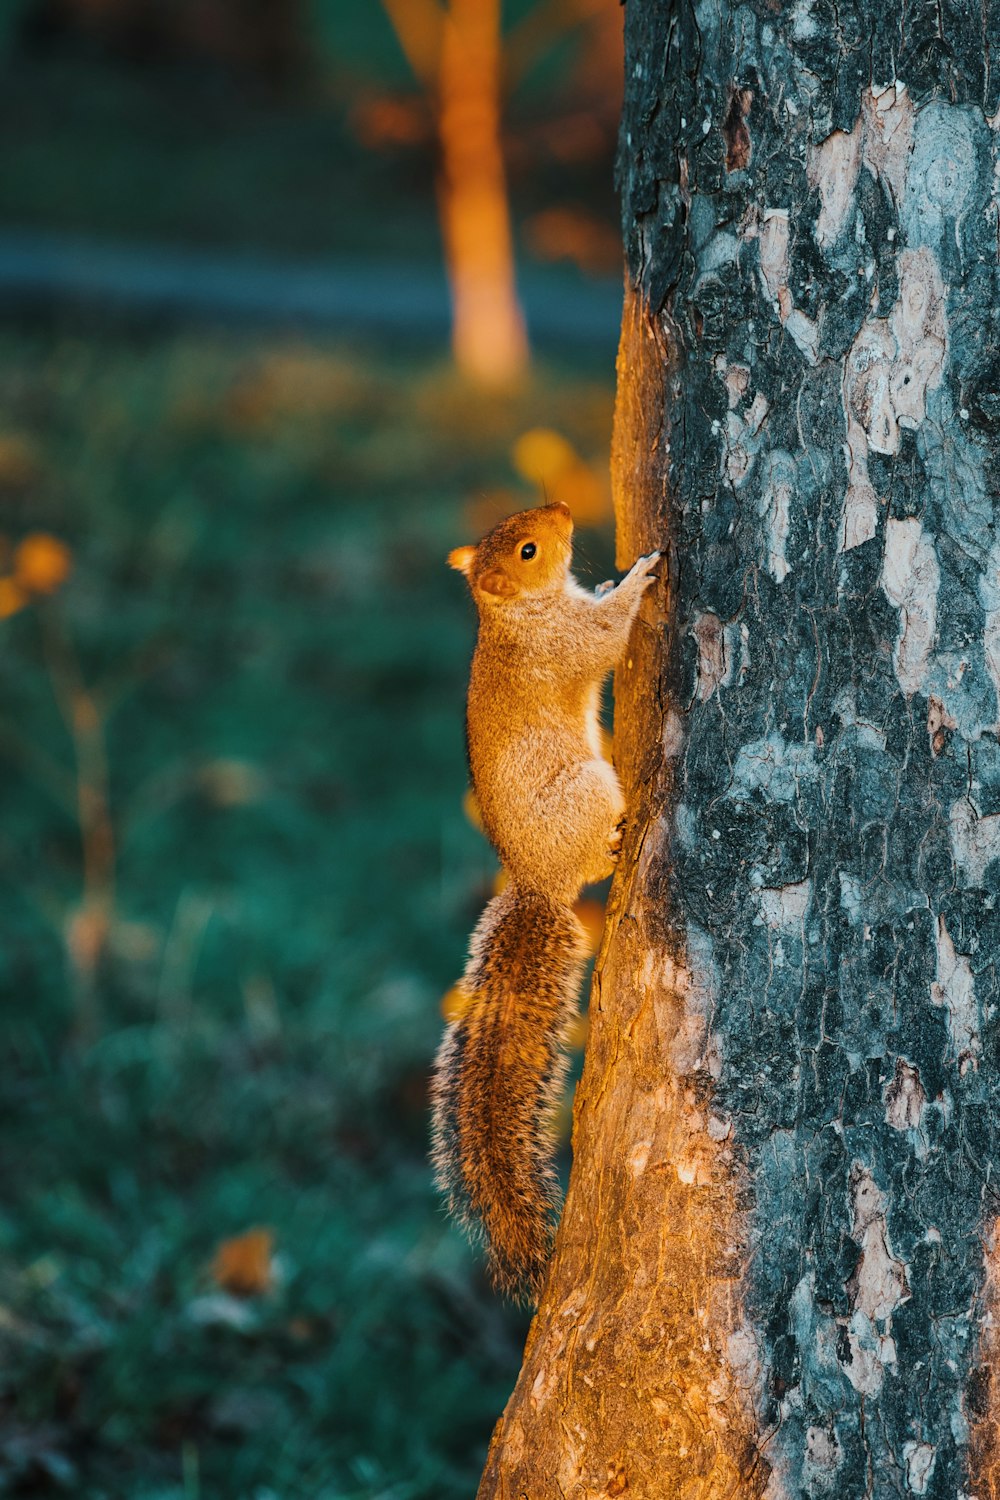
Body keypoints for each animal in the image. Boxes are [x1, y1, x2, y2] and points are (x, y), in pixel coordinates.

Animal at [431, 504, 656, 1302]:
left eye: (518, 528)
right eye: (529, 550)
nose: (559, 512)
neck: (518, 614)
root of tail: (538, 883)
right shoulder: (565, 644)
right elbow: (605, 638)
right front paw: (639, 580)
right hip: (587, 789)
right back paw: (615, 845)